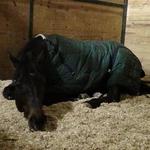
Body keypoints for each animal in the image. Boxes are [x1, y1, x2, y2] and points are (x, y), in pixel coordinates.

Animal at [2, 34, 150, 131]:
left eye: (42, 83)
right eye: (18, 83)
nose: (38, 123)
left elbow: (49, 99)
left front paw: (78, 97)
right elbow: (6, 91)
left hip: (117, 75)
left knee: (113, 96)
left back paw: (90, 102)